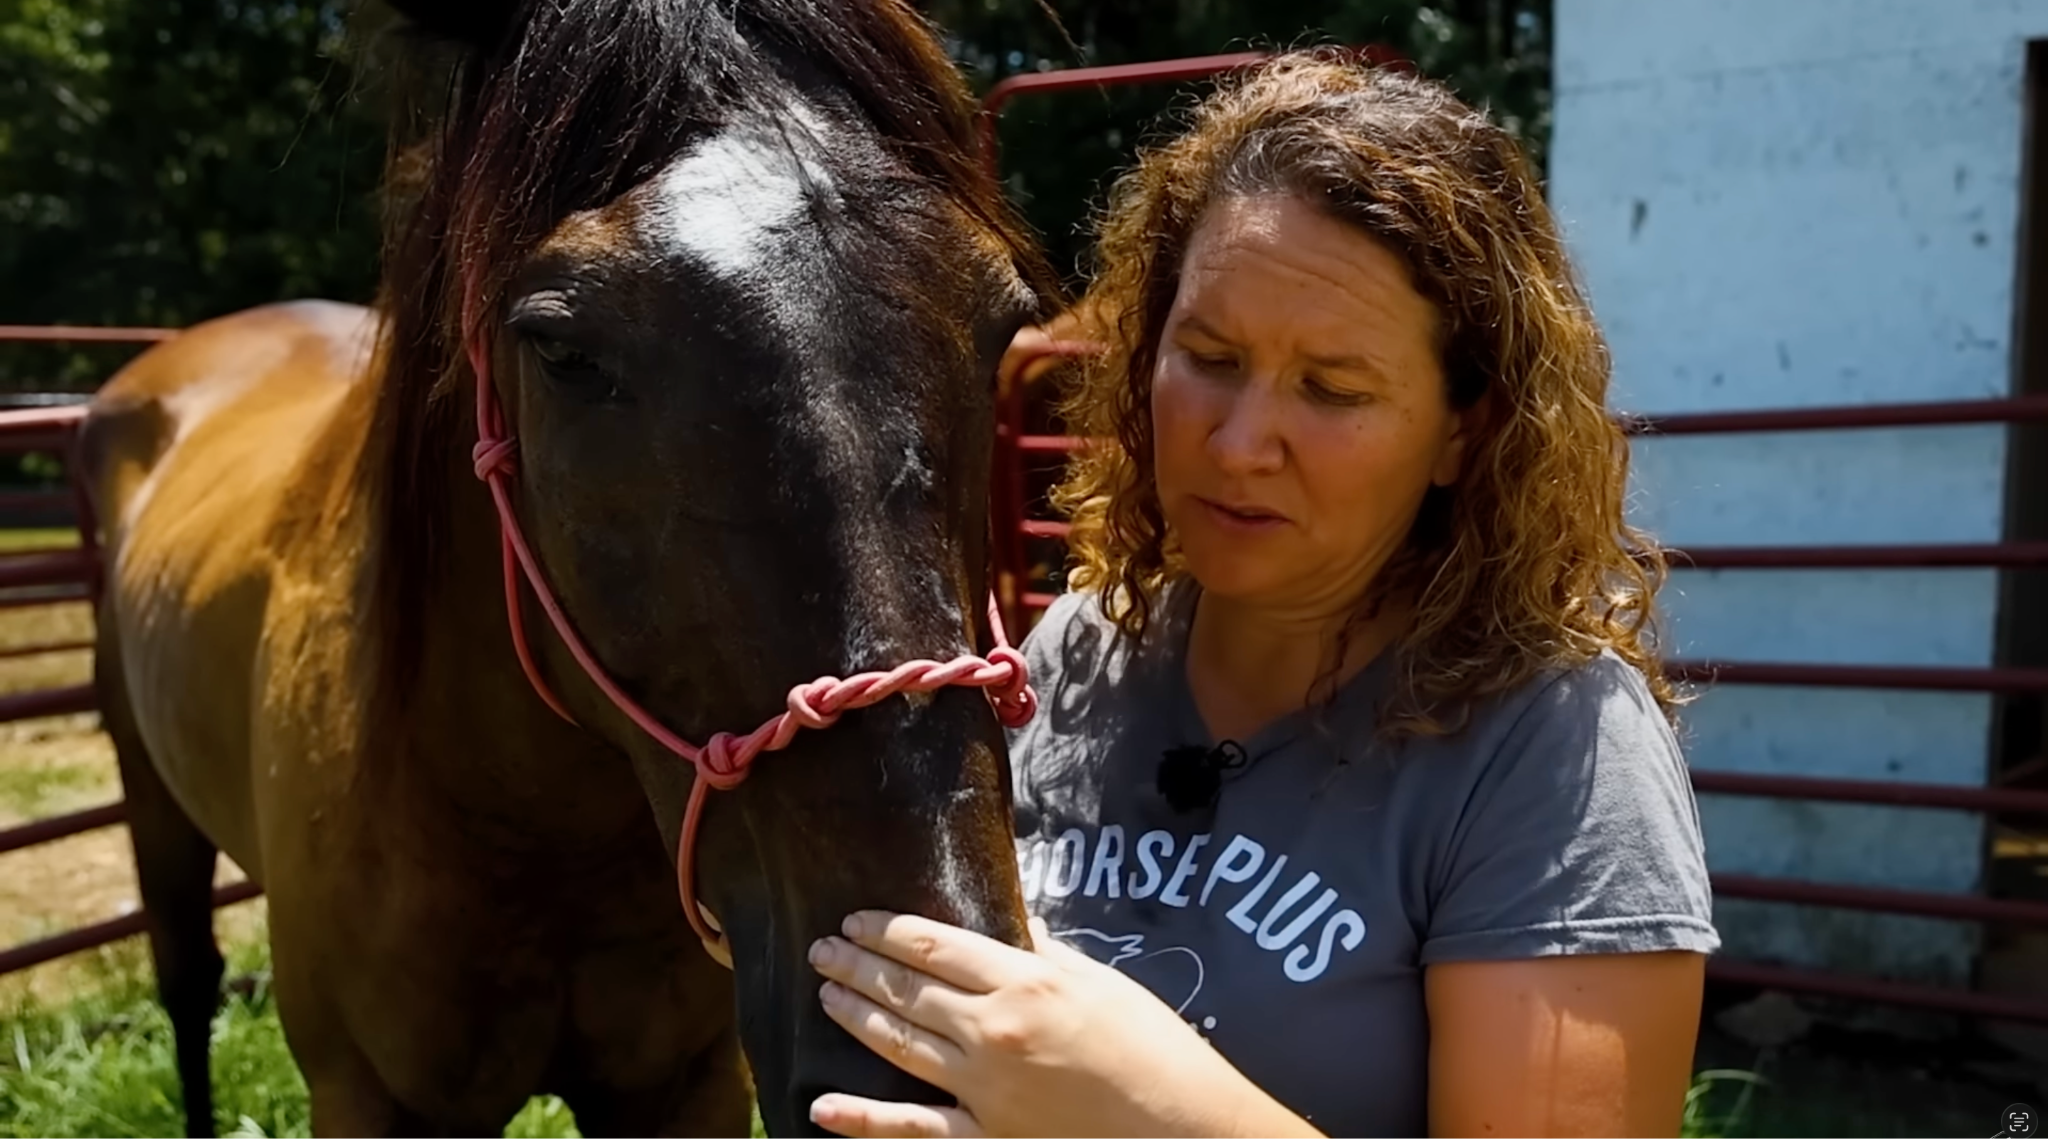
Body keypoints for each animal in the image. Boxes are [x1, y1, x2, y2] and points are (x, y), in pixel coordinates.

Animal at [78, 1, 1055, 1134]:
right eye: (562, 349)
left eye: (1001, 322)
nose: (920, 1069)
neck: (536, 830)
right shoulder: (366, 1093)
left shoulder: (687, 1085)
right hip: (148, 797)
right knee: (186, 984)